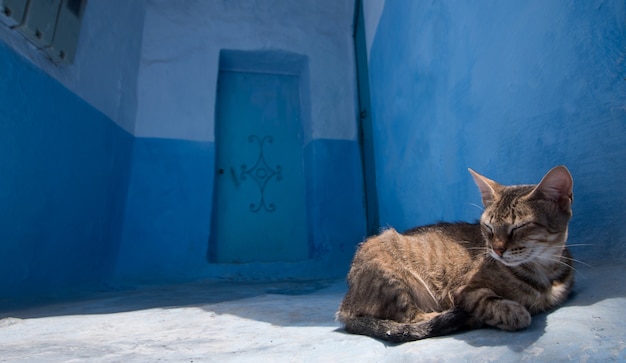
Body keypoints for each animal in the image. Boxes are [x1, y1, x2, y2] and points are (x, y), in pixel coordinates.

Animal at [334, 166, 572, 342]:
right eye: (488, 227)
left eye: (519, 227)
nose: (497, 250)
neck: (543, 270)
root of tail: (347, 303)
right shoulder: (461, 290)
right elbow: (490, 301)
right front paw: (514, 312)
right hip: (389, 267)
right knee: (410, 320)